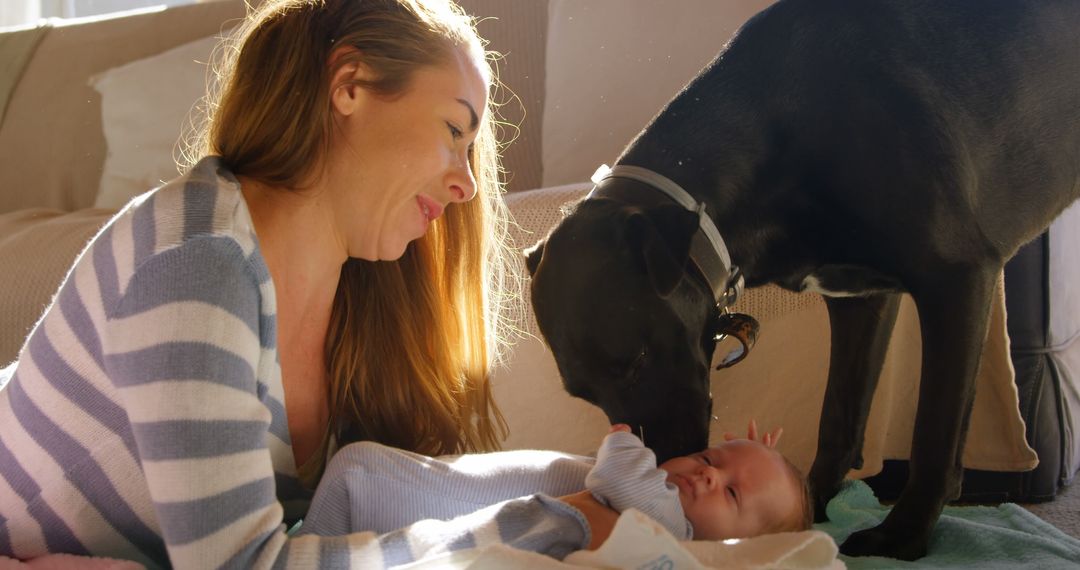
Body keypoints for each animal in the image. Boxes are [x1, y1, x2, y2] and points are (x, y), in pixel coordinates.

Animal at [527, 0, 1080, 561]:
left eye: (637, 360)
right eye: (584, 393)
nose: (664, 466)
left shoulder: (958, 279)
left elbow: (935, 433)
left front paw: (902, 537)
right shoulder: (863, 299)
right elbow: (839, 417)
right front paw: (809, 506)